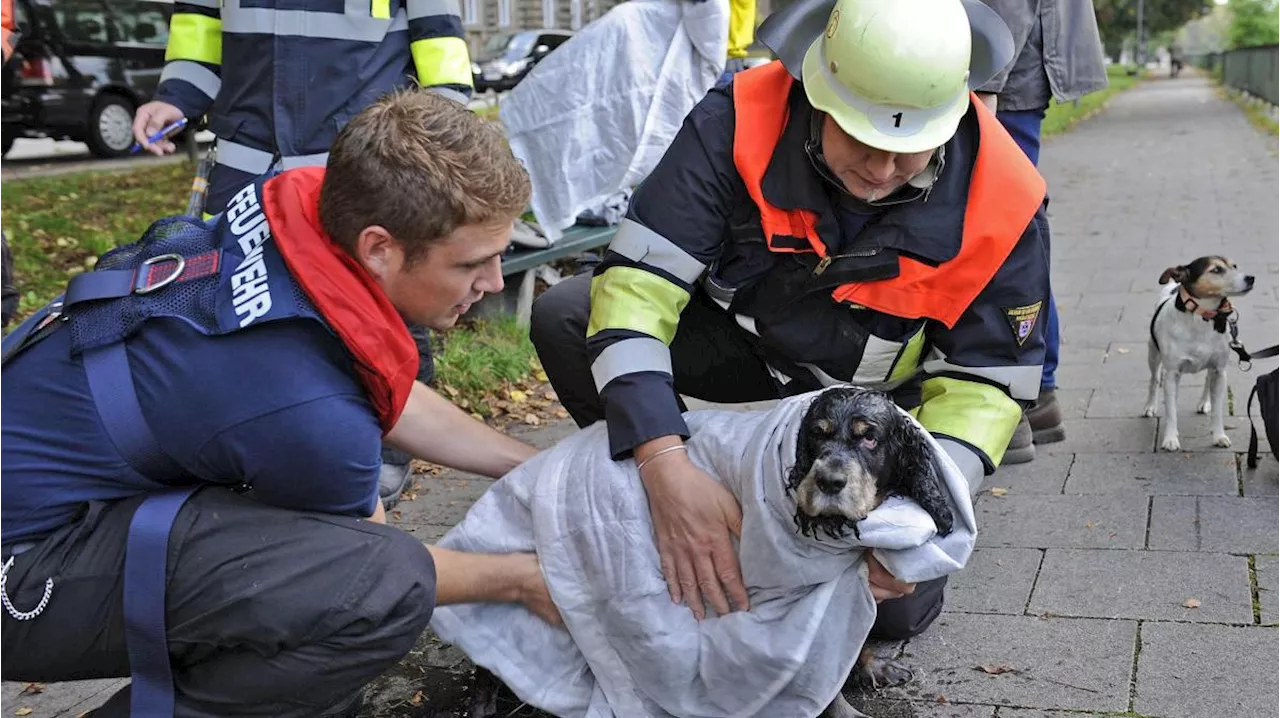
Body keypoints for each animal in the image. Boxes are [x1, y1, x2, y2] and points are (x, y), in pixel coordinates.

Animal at [430, 389, 977, 716]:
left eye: (870, 439)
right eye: (816, 436)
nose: (828, 482)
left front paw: (875, 668)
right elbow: (822, 677)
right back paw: (484, 699)